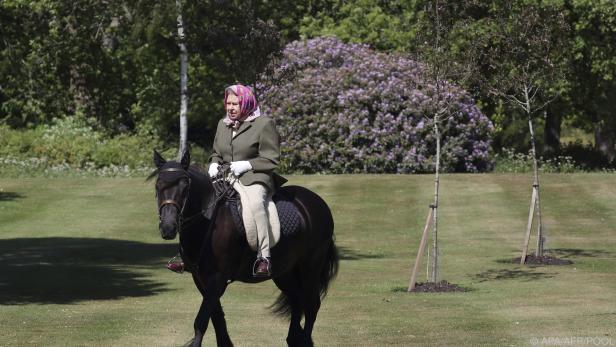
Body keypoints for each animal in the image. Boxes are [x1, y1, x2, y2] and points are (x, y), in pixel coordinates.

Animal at [152, 150, 340, 347]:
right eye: (158, 186)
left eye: (185, 187)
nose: (168, 227)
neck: (208, 220)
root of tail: (317, 203)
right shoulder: (201, 278)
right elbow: (216, 317)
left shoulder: (217, 278)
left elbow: (201, 321)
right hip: (285, 271)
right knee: (297, 300)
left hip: (311, 266)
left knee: (311, 305)